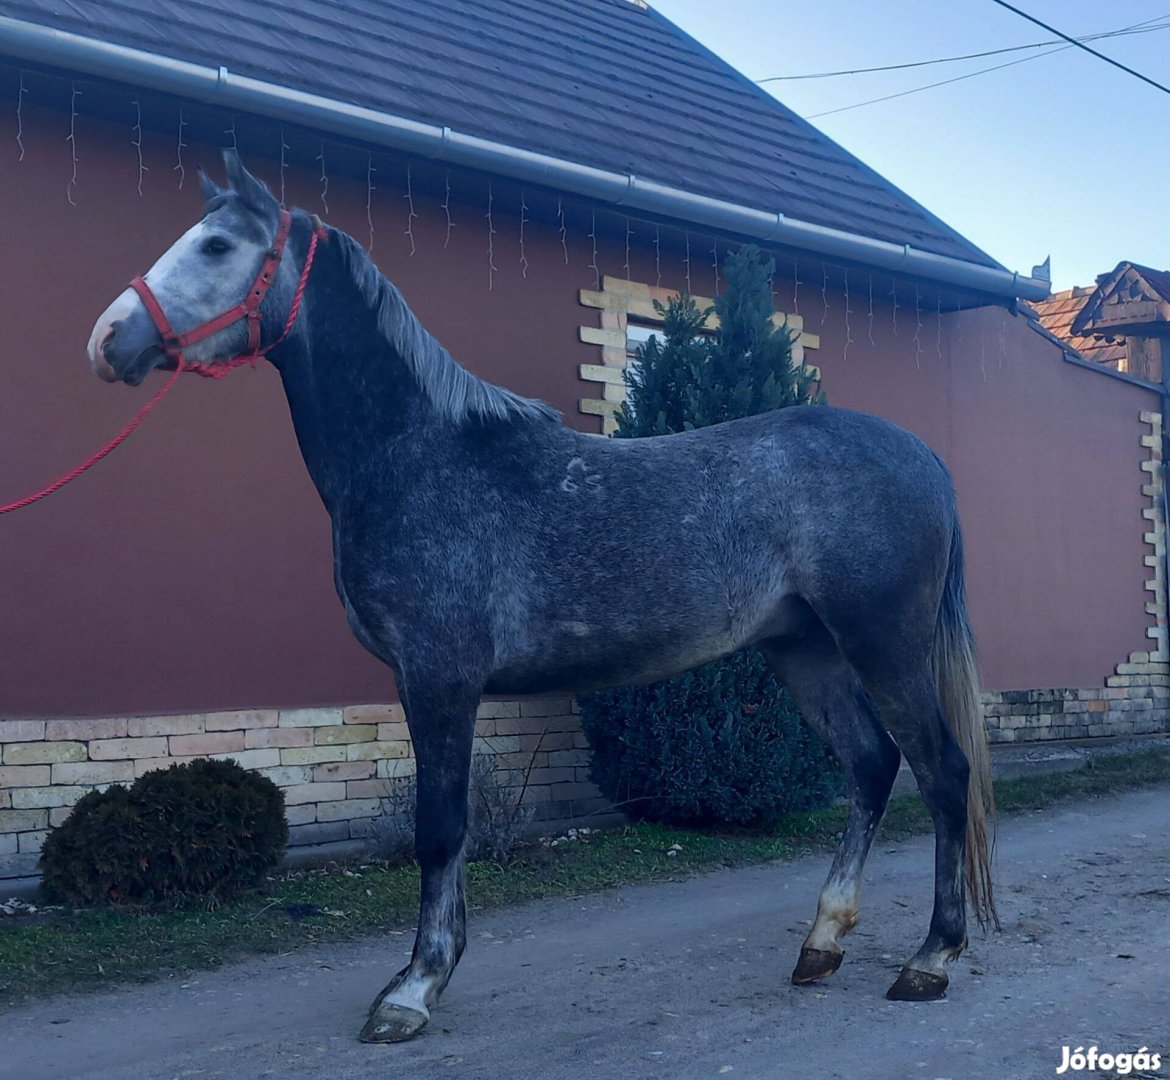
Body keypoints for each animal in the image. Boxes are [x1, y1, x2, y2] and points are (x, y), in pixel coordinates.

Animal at [88, 152, 996, 1039]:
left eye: (216, 247)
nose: (108, 340)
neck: (417, 455)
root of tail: (926, 458)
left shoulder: (439, 677)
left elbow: (438, 828)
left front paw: (413, 989)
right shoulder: (431, 684)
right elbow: (450, 831)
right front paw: (434, 969)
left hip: (884, 643)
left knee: (943, 771)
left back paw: (930, 958)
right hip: (804, 648)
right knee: (873, 766)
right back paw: (822, 943)